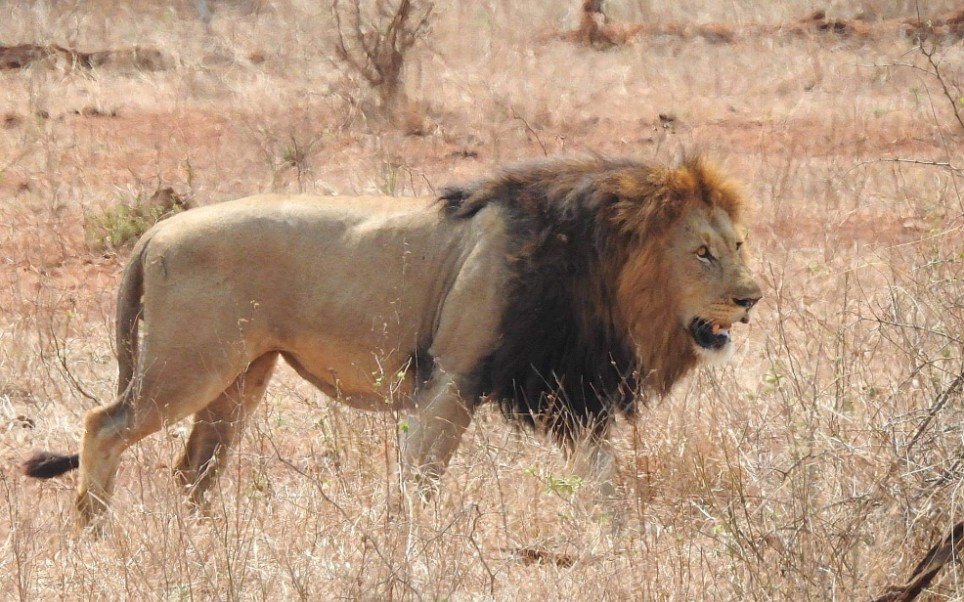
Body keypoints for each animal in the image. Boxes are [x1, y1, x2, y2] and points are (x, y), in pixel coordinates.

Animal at [20, 156, 760, 524]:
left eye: (737, 245)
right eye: (700, 252)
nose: (751, 297)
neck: (599, 273)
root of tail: (156, 231)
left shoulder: (570, 392)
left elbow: (605, 482)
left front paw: (621, 540)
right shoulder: (453, 379)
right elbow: (417, 479)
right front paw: (405, 547)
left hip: (240, 376)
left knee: (194, 467)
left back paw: (201, 543)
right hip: (187, 365)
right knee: (103, 424)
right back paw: (95, 532)